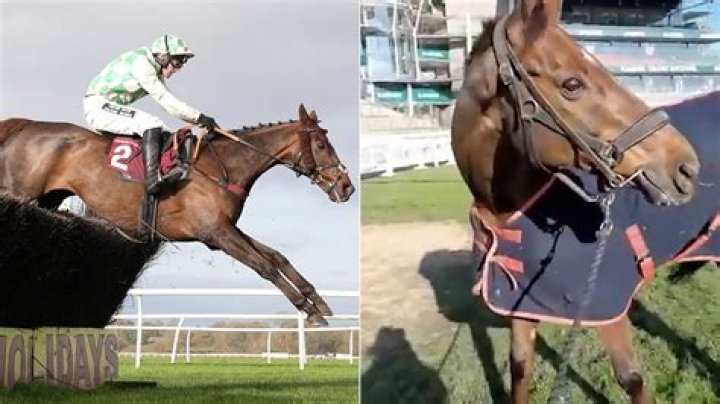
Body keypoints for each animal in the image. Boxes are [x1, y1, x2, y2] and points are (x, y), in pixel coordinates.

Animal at [0, 104, 354, 326]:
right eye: (321, 145)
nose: (347, 186)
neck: (223, 166)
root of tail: (23, 125)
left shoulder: (223, 229)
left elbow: (277, 256)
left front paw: (318, 301)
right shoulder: (216, 233)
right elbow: (264, 266)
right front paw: (308, 310)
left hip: (47, 200)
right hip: (22, 193)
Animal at [451, 0, 702, 402]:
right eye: (572, 84)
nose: (685, 167)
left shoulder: (605, 307)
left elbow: (631, 378)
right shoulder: (522, 307)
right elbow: (520, 366)